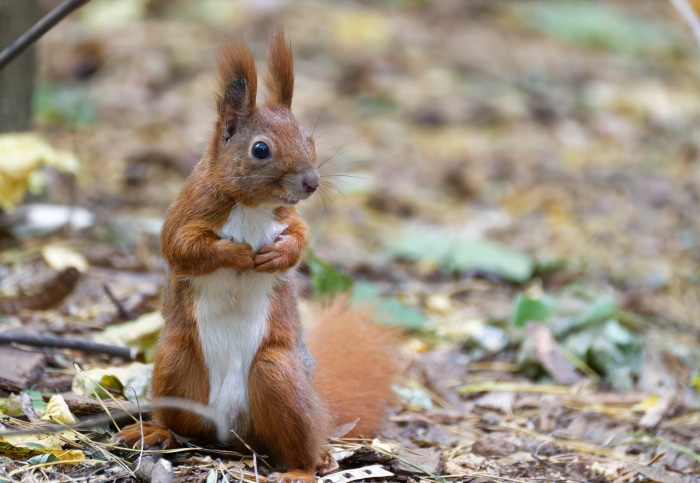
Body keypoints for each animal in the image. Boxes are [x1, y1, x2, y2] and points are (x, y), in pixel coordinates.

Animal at [114, 28, 400, 483]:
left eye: (309, 139)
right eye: (260, 149)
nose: (311, 183)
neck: (253, 205)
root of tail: (230, 429)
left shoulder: (290, 217)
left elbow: (300, 240)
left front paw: (276, 255)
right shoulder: (187, 212)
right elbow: (182, 247)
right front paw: (236, 254)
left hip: (277, 373)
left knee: (300, 442)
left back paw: (306, 467)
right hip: (176, 362)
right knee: (179, 421)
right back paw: (156, 432)